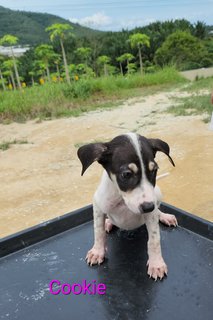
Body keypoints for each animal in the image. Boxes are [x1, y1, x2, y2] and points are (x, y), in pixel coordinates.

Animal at [77, 132, 177, 280]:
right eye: (126, 174)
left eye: (154, 170)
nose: (148, 207)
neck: (122, 199)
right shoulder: (98, 205)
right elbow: (98, 231)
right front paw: (97, 251)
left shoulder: (151, 211)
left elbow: (154, 240)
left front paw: (156, 264)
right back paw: (108, 222)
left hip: (157, 194)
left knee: (158, 210)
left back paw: (165, 217)